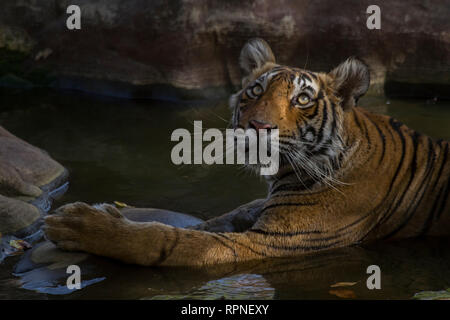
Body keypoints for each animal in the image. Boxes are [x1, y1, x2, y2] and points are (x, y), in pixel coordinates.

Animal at [44, 38, 450, 266]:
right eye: (256, 90)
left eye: (302, 99)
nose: (257, 126)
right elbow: (219, 218)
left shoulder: (274, 241)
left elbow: (171, 240)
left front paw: (77, 223)